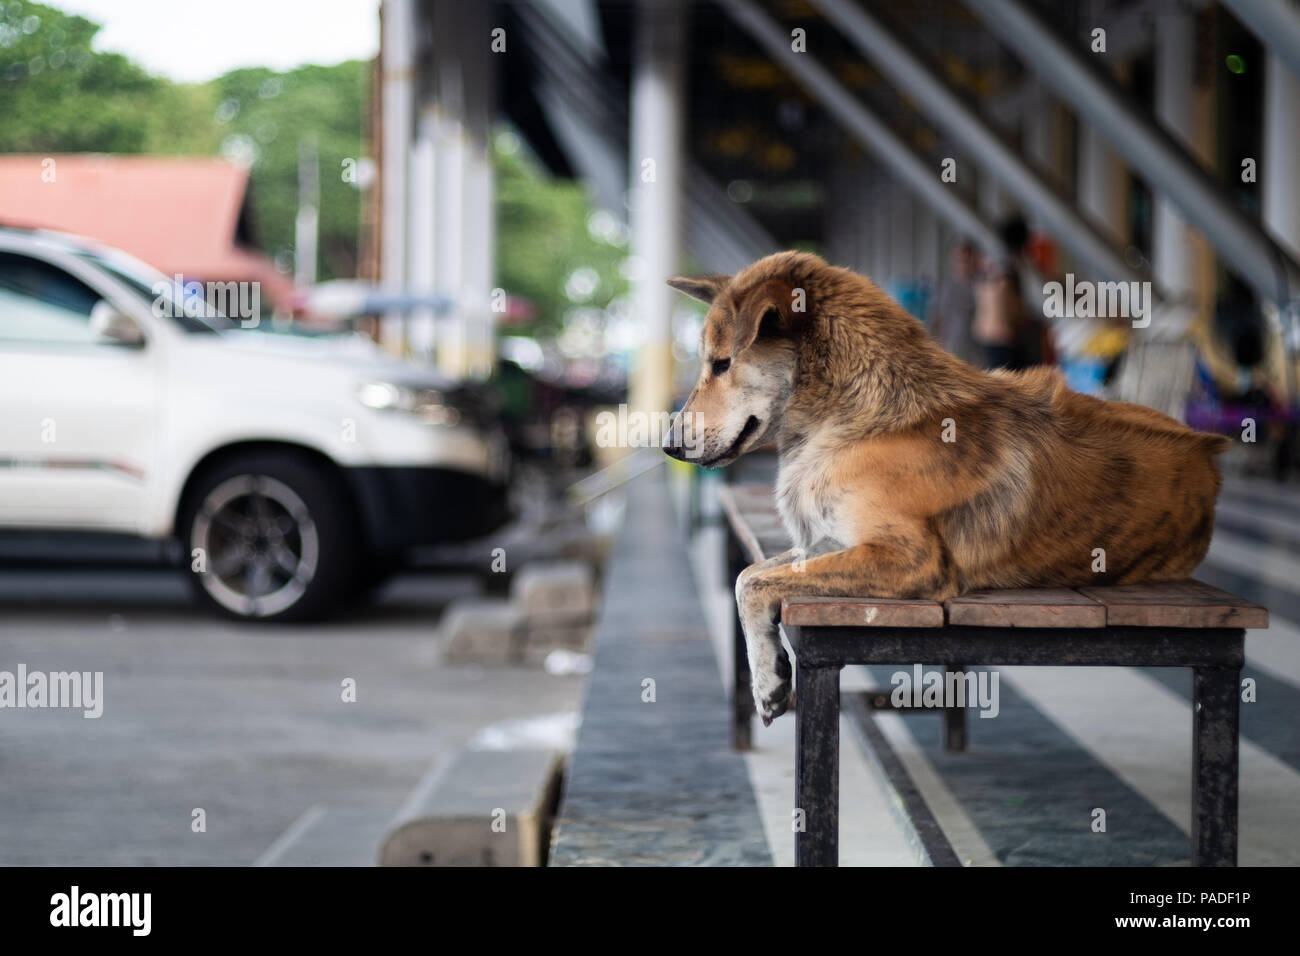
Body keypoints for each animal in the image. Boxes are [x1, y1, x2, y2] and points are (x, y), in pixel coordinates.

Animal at [665, 252, 1232, 723]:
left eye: (721, 363)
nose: (668, 446)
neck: (860, 415)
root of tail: (1211, 450)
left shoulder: (908, 556)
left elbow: (759, 584)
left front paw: (769, 683)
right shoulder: (824, 542)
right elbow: (748, 578)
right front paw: (770, 673)